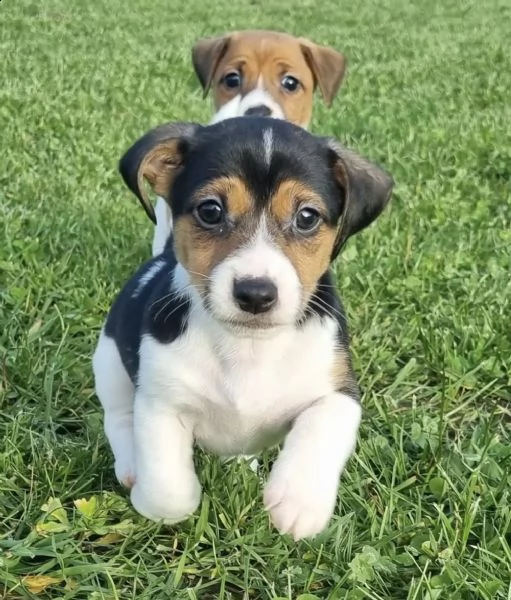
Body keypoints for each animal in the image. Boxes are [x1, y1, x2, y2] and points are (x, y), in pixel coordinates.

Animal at [94, 116, 394, 540]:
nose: (255, 293)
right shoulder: (160, 403)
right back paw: (131, 464)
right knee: (118, 415)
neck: (249, 346)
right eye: (210, 210)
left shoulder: (338, 392)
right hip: (109, 363)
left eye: (307, 217)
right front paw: (152, 503)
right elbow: (171, 494)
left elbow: (320, 429)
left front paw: (298, 502)